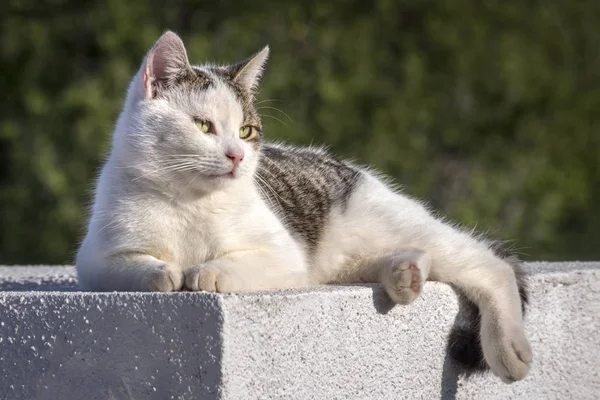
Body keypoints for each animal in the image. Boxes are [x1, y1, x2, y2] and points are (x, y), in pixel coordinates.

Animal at [77, 30, 532, 382]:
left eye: (247, 131)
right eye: (203, 126)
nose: (236, 156)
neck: (190, 201)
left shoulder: (282, 252)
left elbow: (231, 263)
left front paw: (207, 272)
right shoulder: (94, 259)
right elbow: (136, 267)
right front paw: (163, 271)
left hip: (387, 224)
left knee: (489, 264)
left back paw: (509, 348)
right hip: (342, 260)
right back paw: (405, 275)